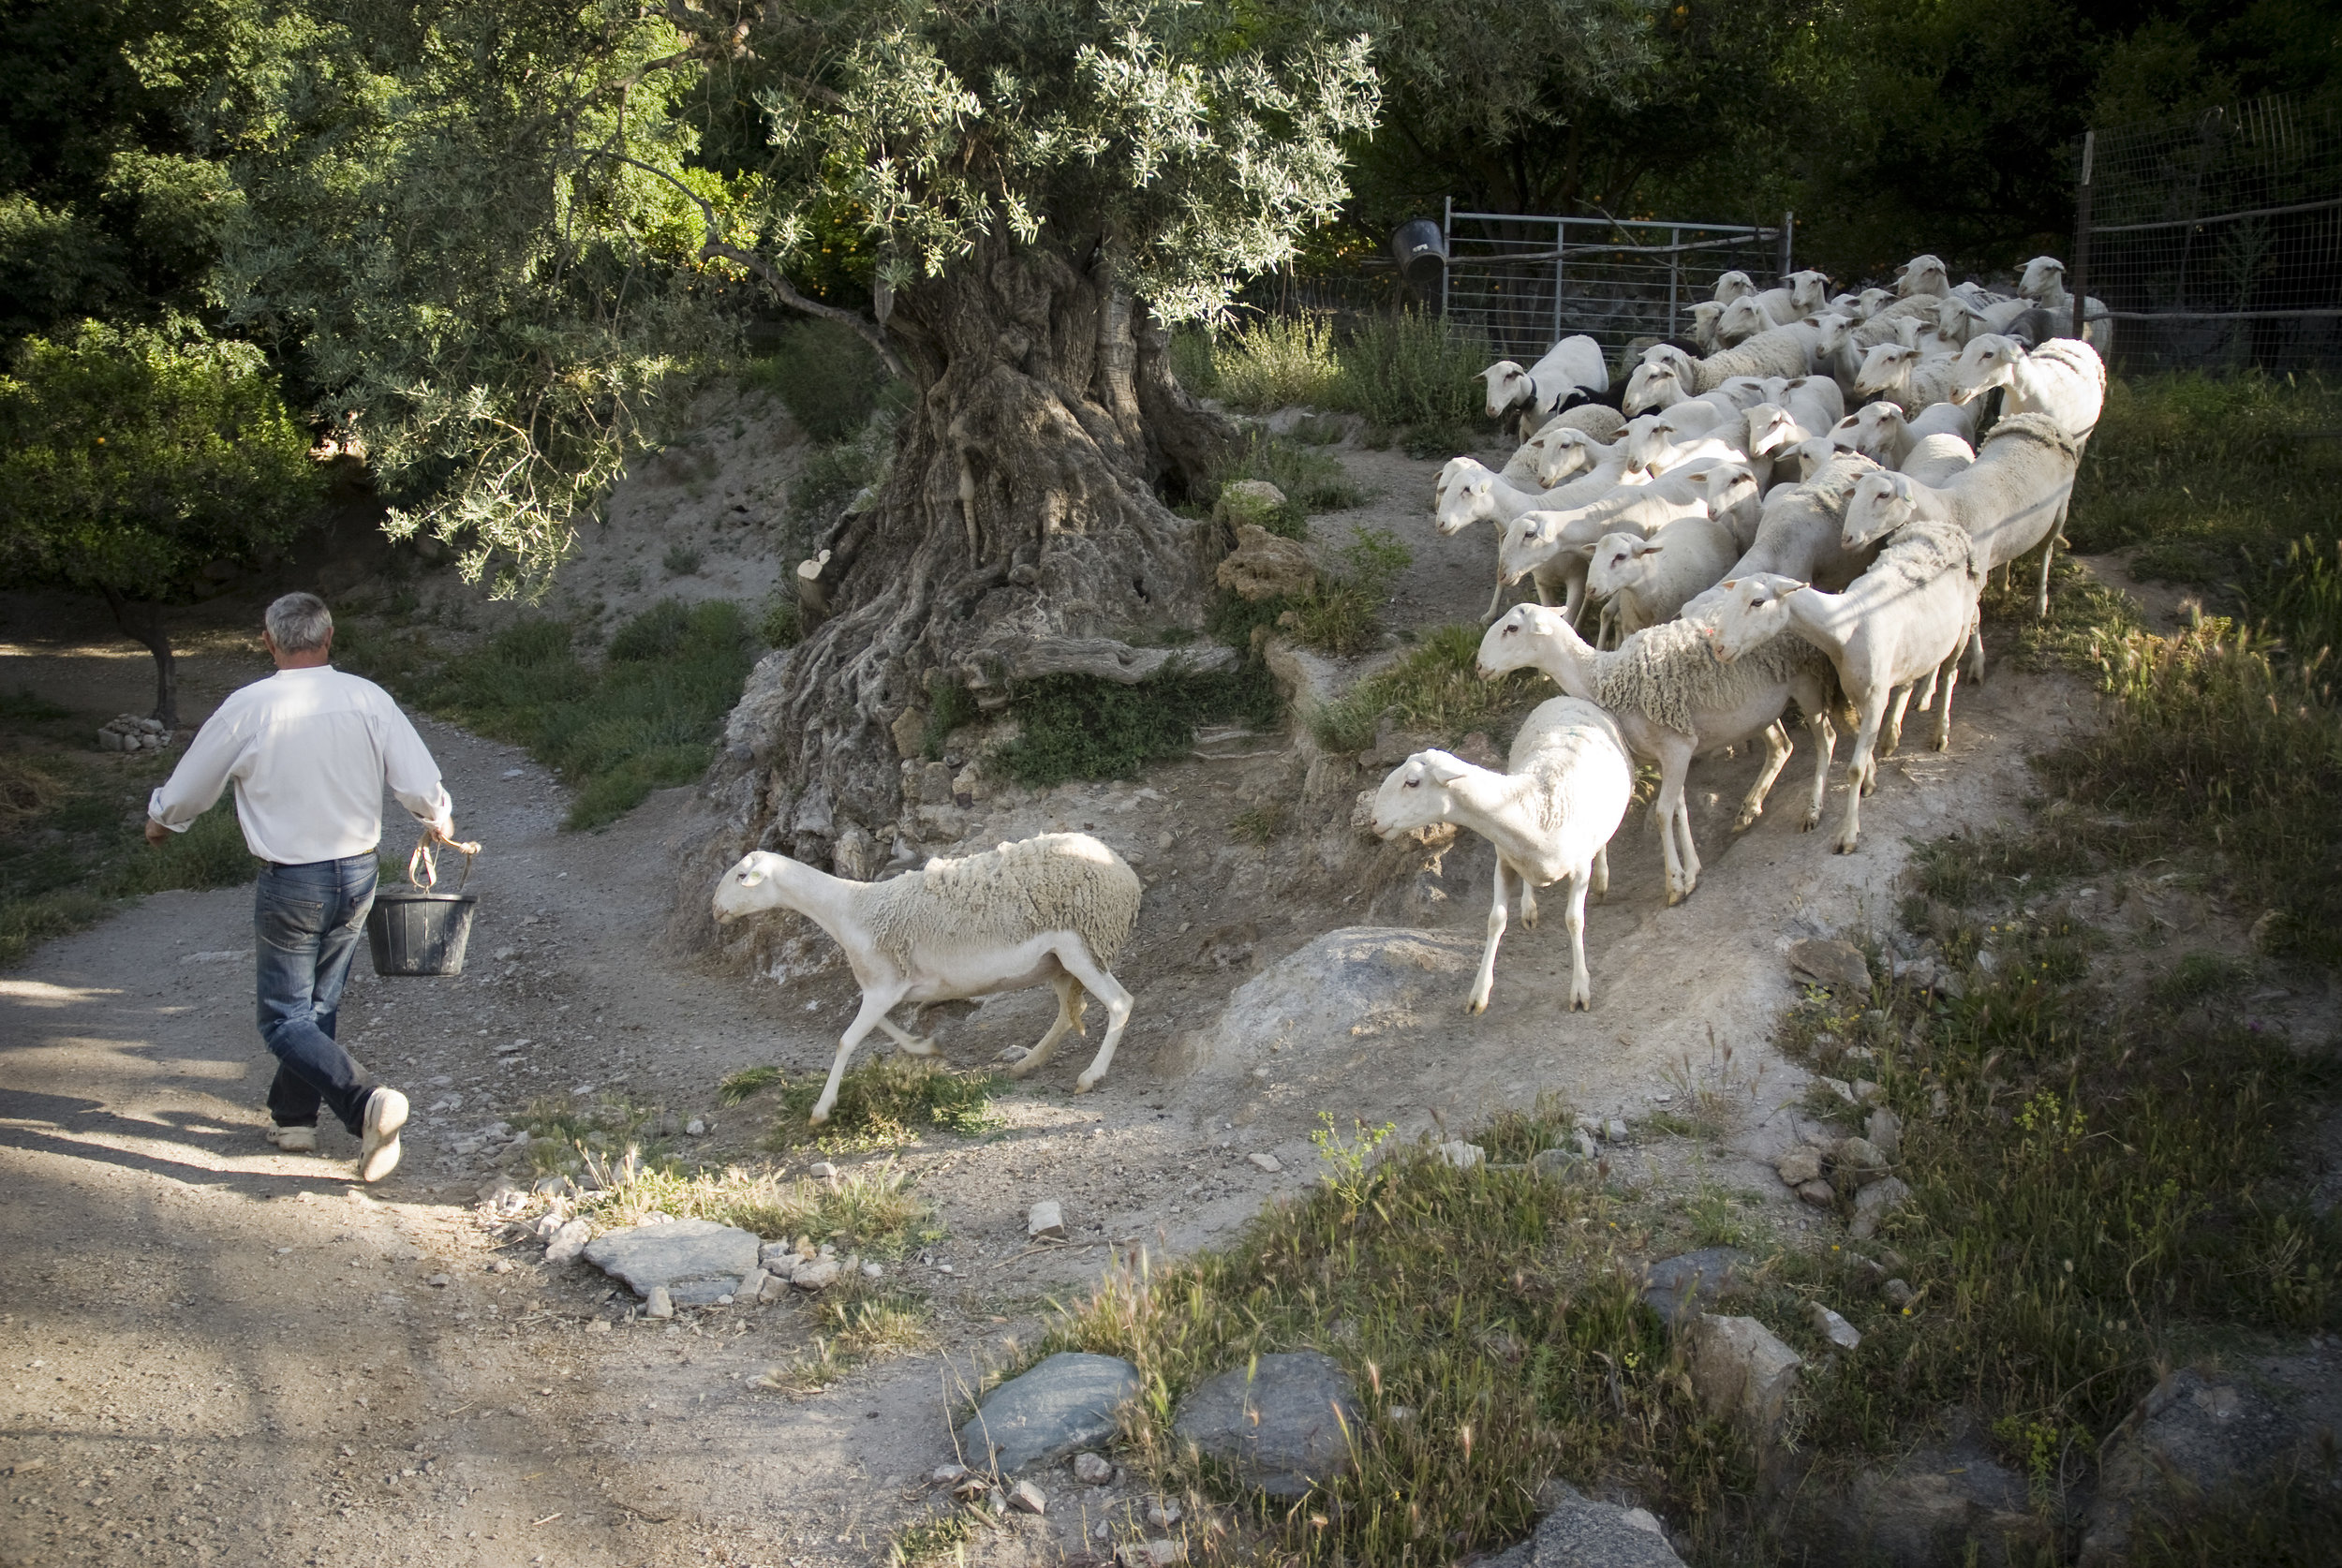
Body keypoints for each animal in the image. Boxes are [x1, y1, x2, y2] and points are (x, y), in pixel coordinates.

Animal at [717, 828, 1148, 1123]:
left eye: (741, 876)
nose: (715, 909)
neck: (852, 909)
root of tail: (1123, 871)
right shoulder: (886, 988)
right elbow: (883, 1028)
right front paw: (925, 1048)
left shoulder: (883, 986)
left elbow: (845, 1042)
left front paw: (822, 1110)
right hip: (1057, 961)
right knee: (1068, 1013)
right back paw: (1026, 1064)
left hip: (1084, 946)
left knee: (1119, 1004)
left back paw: (1090, 1076)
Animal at [1368, 692, 1630, 1015]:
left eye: (1412, 782)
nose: (1374, 821)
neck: (1534, 808)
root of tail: (1565, 697)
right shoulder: (1504, 861)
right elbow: (1496, 920)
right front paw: (1479, 994)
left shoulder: (1580, 868)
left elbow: (1574, 920)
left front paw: (1580, 989)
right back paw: (1529, 906)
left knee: (1602, 843)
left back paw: (1602, 878)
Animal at [1480, 603, 1845, 903]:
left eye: (1511, 628)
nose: (1480, 667)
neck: (1604, 677)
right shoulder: (1668, 755)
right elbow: (1679, 810)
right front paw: (1691, 871)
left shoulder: (1678, 746)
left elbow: (1662, 813)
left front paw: (1675, 884)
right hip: (1759, 710)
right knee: (1782, 746)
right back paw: (1749, 808)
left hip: (1807, 682)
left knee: (1826, 738)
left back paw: (1814, 810)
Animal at [1705, 524, 1977, 861]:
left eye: (1757, 602)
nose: (1719, 647)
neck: (1846, 624)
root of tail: (1945, 527)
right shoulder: (1858, 690)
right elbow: (1860, 742)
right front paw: (1869, 780)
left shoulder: (1875, 698)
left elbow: (1854, 768)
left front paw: (1848, 834)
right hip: (1913, 650)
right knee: (1912, 678)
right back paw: (1893, 735)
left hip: (1963, 627)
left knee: (1951, 672)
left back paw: (1941, 732)